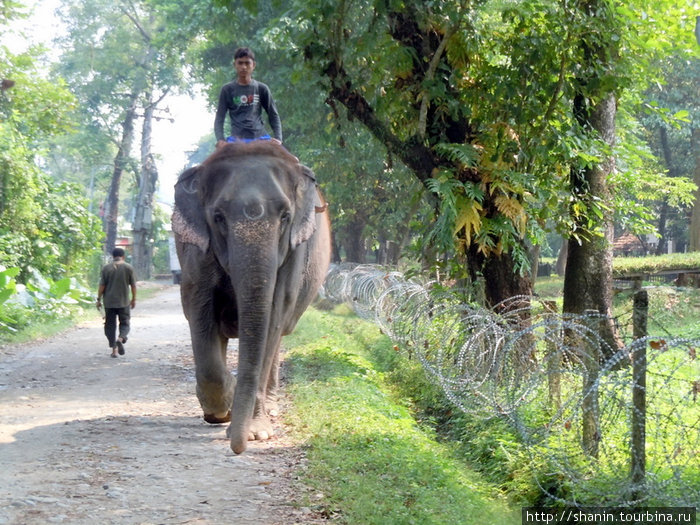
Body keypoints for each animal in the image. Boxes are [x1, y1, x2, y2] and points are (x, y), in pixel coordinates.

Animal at [172, 141, 330, 452]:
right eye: (218, 217)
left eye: (285, 217)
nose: (238, 447)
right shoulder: (197, 252)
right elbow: (200, 310)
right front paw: (224, 409)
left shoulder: (293, 254)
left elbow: (273, 316)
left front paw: (256, 432)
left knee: (277, 337)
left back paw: (270, 407)